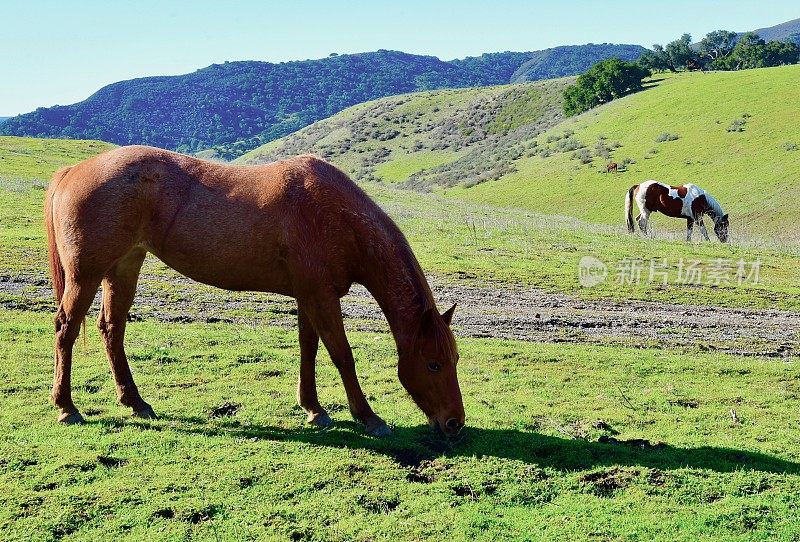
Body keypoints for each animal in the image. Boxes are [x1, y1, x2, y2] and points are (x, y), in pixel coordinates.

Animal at [43, 147, 466, 440]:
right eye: (433, 364)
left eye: (455, 359)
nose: (455, 422)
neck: (334, 214)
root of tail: (74, 171)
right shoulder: (321, 297)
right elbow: (342, 355)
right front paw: (368, 417)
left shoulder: (309, 296)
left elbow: (309, 349)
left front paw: (313, 409)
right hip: (86, 275)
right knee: (66, 327)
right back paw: (66, 408)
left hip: (124, 267)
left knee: (111, 329)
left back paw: (135, 402)